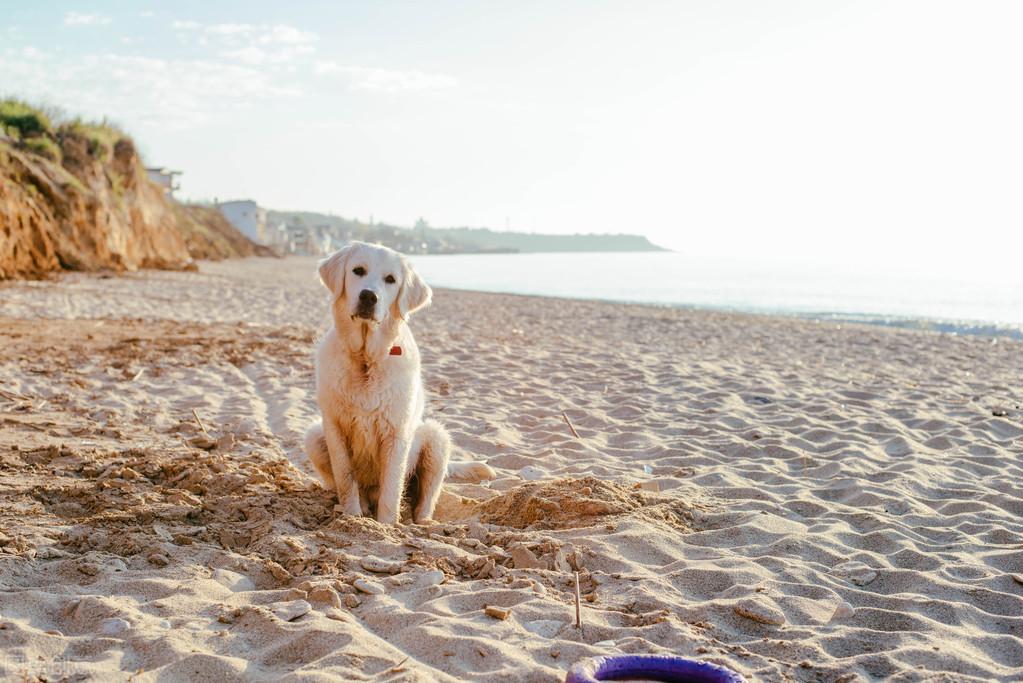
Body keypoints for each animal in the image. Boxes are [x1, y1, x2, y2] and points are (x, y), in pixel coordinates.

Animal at [302, 240, 495, 523]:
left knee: (424, 502)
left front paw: (386, 525)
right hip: (314, 436)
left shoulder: (397, 430)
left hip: (436, 438)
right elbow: (346, 479)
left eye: (390, 280)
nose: (369, 297)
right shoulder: (334, 425)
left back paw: (422, 523)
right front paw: (352, 517)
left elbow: (391, 488)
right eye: (358, 271)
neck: (366, 358)